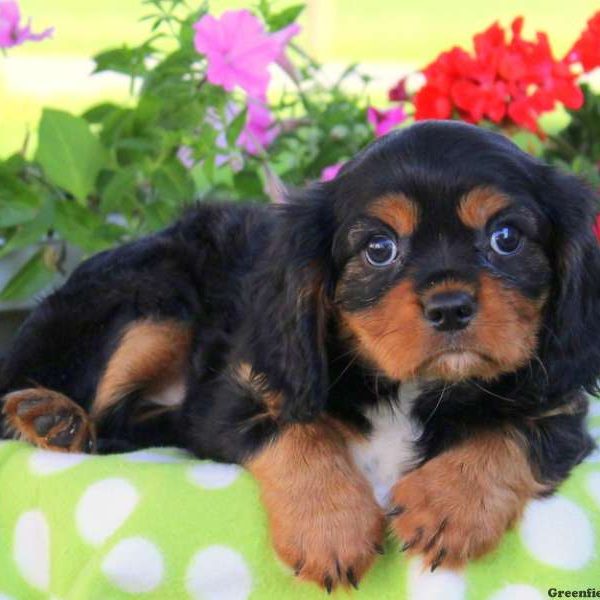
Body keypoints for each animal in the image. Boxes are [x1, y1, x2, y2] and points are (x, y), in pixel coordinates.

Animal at [1, 122, 600, 592]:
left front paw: (448, 503)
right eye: (379, 249)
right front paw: (331, 528)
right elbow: (295, 430)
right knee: (97, 407)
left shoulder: (560, 405)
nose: (451, 308)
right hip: (155, 298)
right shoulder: (236, 392)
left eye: (506, 237)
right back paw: (53, 418)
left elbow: (512, 429)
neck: (407, 387)